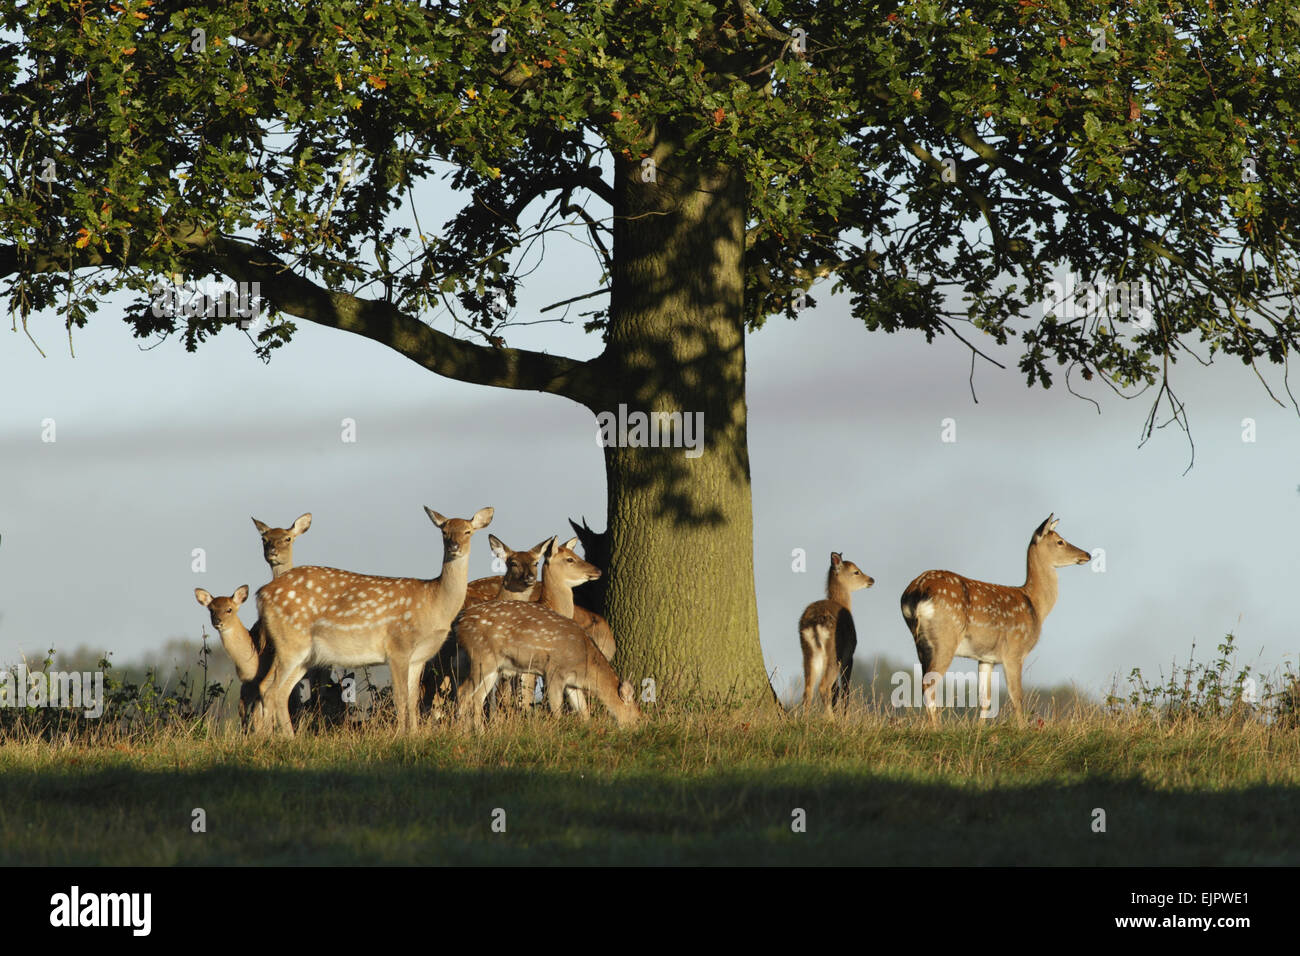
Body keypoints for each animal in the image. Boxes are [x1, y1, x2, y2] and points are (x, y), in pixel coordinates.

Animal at [194, 586, 271, 730]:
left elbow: (258, 715)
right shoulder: (247, 682)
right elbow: (242, 709)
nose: (217, 621)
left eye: (229, 609)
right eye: (211, 609)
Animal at [255, 505, 493, 735]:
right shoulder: (398, 646)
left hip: (305, 654)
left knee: (274, 689)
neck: (434, 603)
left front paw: (415, 735)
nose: (455, 547)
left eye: (468, 531)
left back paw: (280, 737)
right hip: (291, 642)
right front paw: (399, 736)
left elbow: (413, 699)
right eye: (444, 532)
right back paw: (274, 738)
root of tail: (261, 595)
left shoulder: (419, 657)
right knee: (272, 689)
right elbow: (401, 698)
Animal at [454, 600, 639, 729]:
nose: (638, 730)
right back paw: (463, 733)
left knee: (477, 697)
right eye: (637, 717)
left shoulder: (572, 683)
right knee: (463, 692)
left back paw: (480, 733)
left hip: (494, 667)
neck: (585, 664)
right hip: (481, 656)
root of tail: (459, 622)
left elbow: (583, 710)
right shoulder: (554, 672)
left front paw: (587, 729)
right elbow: (556, 708)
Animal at [798, 553, 874, 715]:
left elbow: (836, 690)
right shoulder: (850, 654)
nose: (871, 579)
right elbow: (845, 689)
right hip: (834, 653)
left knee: (808, 689)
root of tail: (814, 623)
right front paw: (845, 717)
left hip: (807, 651)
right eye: (856, 571)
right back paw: (830, 719)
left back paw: (804, 719)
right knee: (823, 686)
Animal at [900, 513, 1091, 722]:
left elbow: (985, 699)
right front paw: (1022, 728)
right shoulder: (1014, 651)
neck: (1035, 606)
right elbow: (1017, 698)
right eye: (1060, 541)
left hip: (921, 643)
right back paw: (937, 727)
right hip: (945, 638)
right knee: (929, 684)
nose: (1087, 554)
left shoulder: (986, 658)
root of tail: (917, 591)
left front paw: (979, 729)